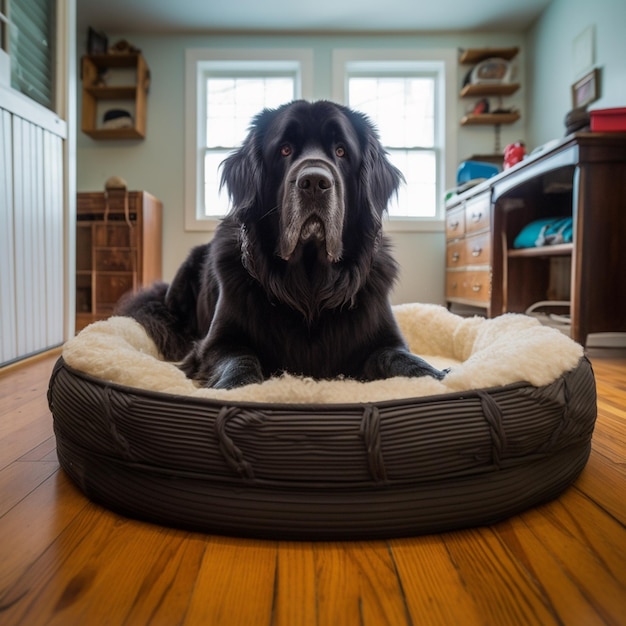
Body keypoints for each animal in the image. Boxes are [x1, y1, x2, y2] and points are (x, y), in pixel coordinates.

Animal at [116, 99, 444, 386]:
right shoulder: (217, 342)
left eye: (341, 151)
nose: (315, 182)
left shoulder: (387, 340)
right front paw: (238, 386)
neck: (310, 288)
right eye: (285, 150)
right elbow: (240, 359)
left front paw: (438, 376)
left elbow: (404, 359)